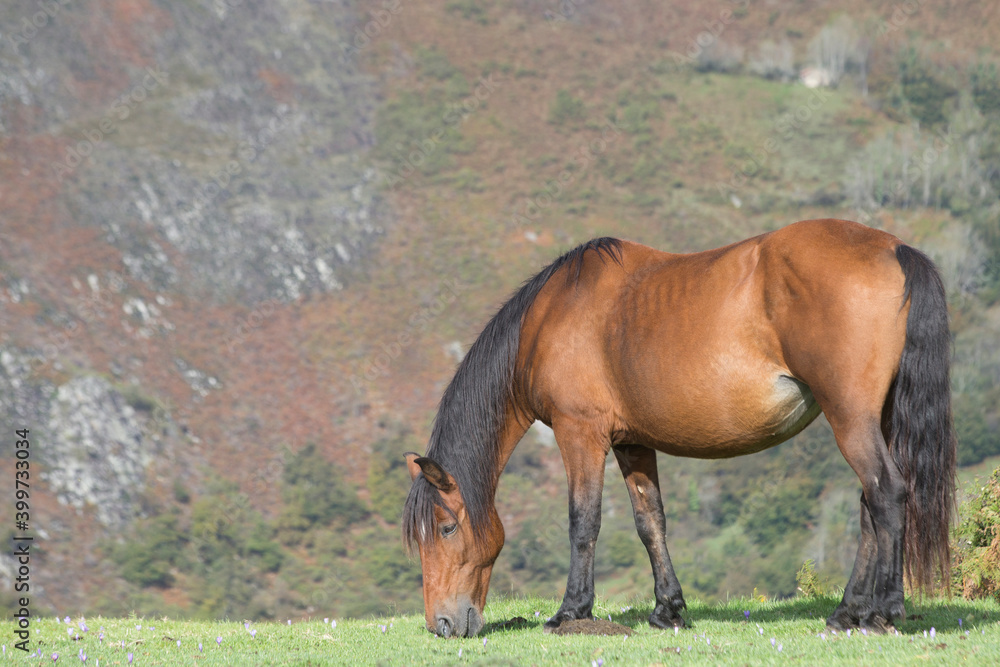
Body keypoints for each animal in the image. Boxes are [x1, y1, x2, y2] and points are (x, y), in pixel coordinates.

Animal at [402, 218, 956, 637]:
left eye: (447, 528)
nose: (442, 625)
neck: (549, 319)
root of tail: (893, 248)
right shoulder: (631, 442)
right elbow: (651, 522)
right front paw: (668, 609)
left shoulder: (579, 433)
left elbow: (584, 522)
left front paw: (571, 611)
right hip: (874, 419)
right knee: (869, 505)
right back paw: (848, 610)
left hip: (850, 417)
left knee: (885, 493)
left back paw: (882, 610)